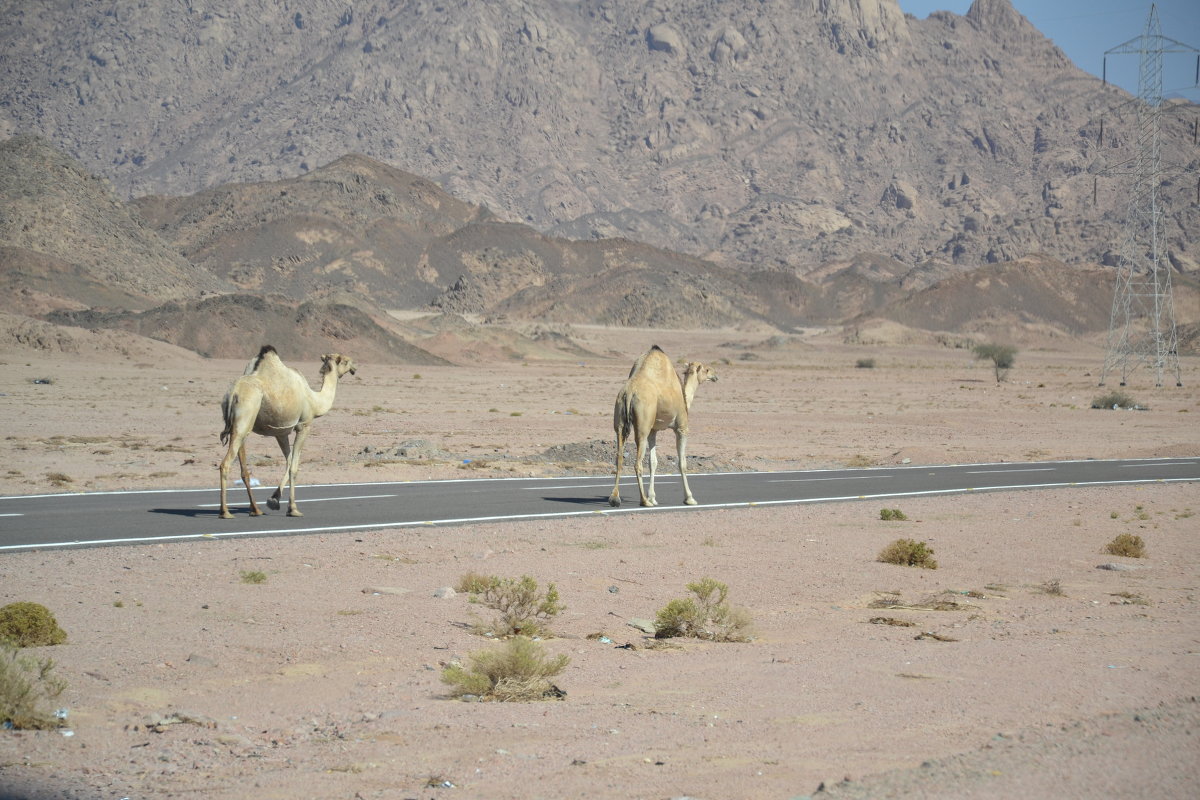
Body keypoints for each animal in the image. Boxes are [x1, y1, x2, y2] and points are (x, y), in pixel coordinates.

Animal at [218, 347, 355, 522]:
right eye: (345, 361)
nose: (354, 367)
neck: (314, 400)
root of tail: (233, 393)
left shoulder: (280, 431)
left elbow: (289, 462)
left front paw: (273, 500)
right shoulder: (303, 425)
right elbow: (294, 467)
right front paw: (293, 509)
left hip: (239, 426)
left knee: (243, 468)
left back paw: (255, 509)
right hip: (245, 417)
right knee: (225, 464)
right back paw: (225, 512)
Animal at [604, 345, 715, 506]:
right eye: (706, 370)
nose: (715, 375)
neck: (684, 396)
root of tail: (629, 392)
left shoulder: (653, 431)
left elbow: (653, 462)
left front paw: (653, 497)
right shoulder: (681, 428)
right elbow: (682, 463)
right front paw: (689, 498)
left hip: (619, 420)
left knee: (619, 457)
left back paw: (614, 498)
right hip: (642, 428)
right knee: (637, 463)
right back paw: (644, 501)